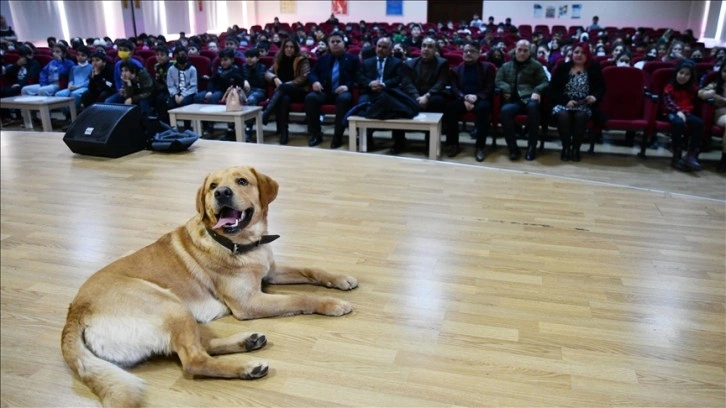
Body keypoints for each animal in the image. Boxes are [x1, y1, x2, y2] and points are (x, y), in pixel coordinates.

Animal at [60, 166, 362, 408]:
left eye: (242, 181)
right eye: (213, 186)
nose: (222, 193)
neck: (241, 243)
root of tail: (74, 313)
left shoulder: (270, 272)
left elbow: (310, 270)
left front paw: (340, 278)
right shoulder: (250, 302)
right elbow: (299, 298)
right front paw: (331, 304)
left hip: (177, 313)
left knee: (197, 346)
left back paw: (247, 342)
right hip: (169, 304)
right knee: (193, 360)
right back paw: (247, 367)